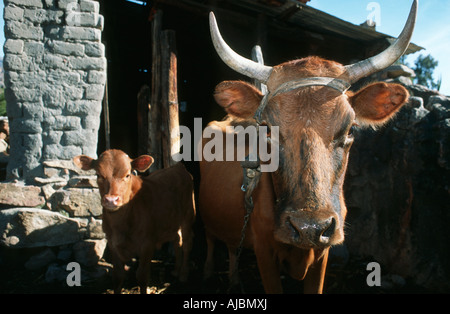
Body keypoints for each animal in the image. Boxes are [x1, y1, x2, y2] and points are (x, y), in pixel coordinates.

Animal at [73, 148, 195, 294]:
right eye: (98, 175)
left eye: (127, 175)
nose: (111, 200)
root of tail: (177, 167)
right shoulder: (113, 244)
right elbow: (117, 277)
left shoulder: (147, 244)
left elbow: (142, 276)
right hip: (171, 221)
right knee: (177, 240)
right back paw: (176, 270)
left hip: (189, 214)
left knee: (187, 243)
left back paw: (183, 274)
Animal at [200, 0, 418, 294]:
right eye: (266, 128)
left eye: (351, 129)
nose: (310, 227)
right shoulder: (264, 252)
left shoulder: (323, 255)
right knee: (212, 240)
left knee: (233, 246)